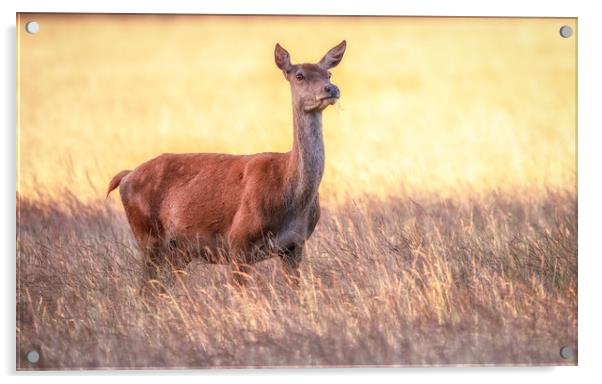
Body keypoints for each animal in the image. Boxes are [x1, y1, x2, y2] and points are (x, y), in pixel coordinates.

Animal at [105, 40, 344, 290]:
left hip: (177, 251)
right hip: (147, 235)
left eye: (328, 73)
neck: (290, 194)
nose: (331, 89)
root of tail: (126, 176)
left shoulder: (294, 247)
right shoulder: (238, 241)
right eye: (299, 75)